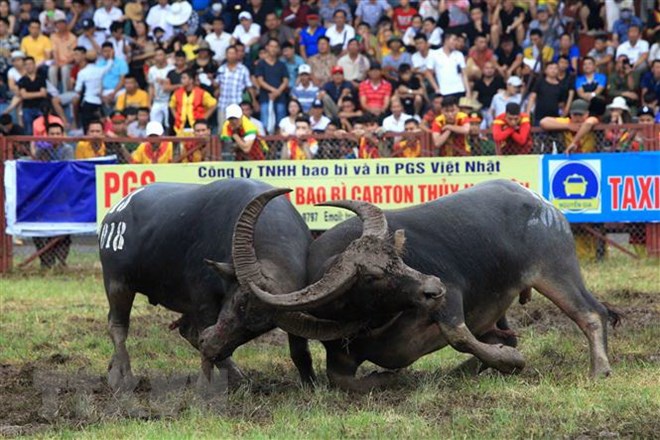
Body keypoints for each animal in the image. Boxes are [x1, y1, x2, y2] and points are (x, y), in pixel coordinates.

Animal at [99, 179, 326, 392]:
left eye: (259, 327)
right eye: (239, 303)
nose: (211, 344)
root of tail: (115, 211)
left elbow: (300, 350)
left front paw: (310, 383)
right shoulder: (203, 299)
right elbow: (203, 335)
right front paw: (204, 387)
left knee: (188, 332)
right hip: (117, 282)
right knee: (117, 326)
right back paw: (123, 378)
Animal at [224, 180, 620, 392]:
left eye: (396, 257)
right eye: (371, 277)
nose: (433, 288)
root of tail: (538, 202)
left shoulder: (453, 299)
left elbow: (460, 336)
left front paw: (510, 363)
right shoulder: (342, 351)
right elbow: (341, 378)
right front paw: (387, 378)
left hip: (557, 272)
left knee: (592, 314)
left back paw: (600, 370)